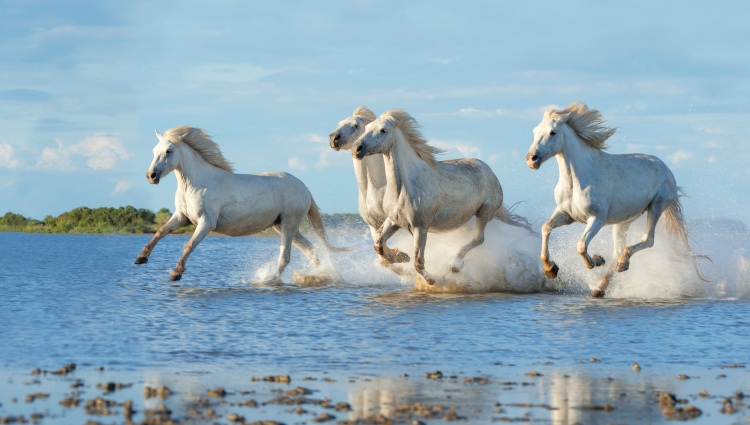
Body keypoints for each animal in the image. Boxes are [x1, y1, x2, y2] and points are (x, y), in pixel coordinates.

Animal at [134, 126, 345, 284]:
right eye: (154, 151)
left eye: (169, 151)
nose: (151, 176)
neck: (196, 184)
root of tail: (305, 188)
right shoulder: (182, 217)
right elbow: (160, 231)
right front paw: (141, 258)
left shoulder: (206, 223)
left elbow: (189, 245)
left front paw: (176, 273)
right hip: (283, 226)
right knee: (312, 251)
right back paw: (317, 276)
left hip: (288, 225)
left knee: (285, 257)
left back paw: (267, 280)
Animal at [351, 109, 514, 285]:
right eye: (366, 129)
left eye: (383, 130)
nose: (356, 149)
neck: (403, 187)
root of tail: (490, 172)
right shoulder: (394, 221)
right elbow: (379, 244)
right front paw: (400, 256)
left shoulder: (420, 227)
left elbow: (418, 261)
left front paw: (432, 280)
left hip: (484, 212)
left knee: (479, 238)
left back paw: (454, 266)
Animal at [525, 102, 706, 297]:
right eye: (535, 131)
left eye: (553, 132)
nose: (532, 159)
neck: (578, 179)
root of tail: (667, 170)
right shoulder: (566, 215)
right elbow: (546, 227)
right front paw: (551, 269)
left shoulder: (596, 219)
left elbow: (581, 245)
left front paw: (595, 261)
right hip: (624, 221)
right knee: (618, 251)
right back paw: (600, 287)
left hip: (656, 206)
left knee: (647, 240)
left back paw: (622, 264)